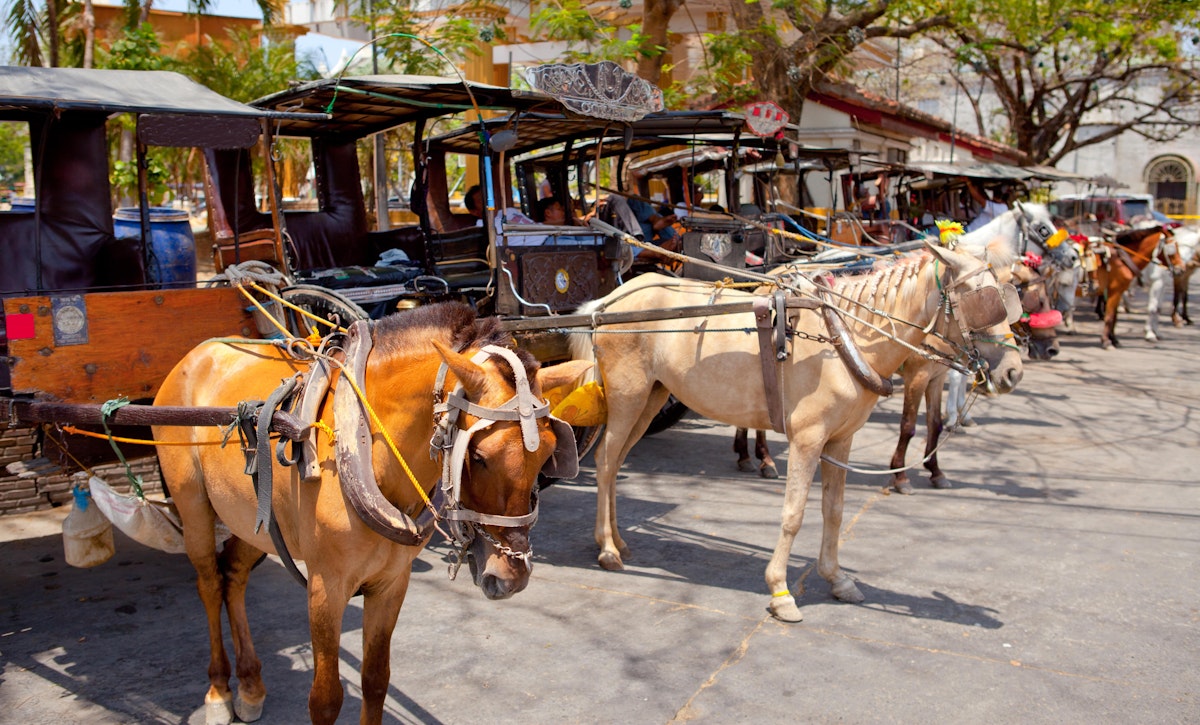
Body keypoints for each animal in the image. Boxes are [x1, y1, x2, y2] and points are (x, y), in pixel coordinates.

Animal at [152, 302, 592, 725]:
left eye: (548, 456)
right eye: (480, 457)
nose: (510, 577)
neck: (364, 442)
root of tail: (199, 351)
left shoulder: (392, 583)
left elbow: (376, 680)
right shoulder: (325, 588)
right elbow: (325, 700)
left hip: (251, 522)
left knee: (234, 576)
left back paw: (249, 686)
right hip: (193, 508)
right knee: (210, 583)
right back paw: (218, 692)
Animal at [568, 244, 1022, 624]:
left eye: (1011, 294)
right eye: (984, 300)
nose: (1013, 372)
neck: (846, 335)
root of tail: (608, 303)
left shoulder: (840, 440)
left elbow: (833, 511)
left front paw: (836, 578)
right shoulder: (807, 439)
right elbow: (793, 515)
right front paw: (781, 591)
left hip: (652, 396)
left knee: (617, 460)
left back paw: (618, 540)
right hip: (628, 395)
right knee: (605, 462)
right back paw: (607, 549)